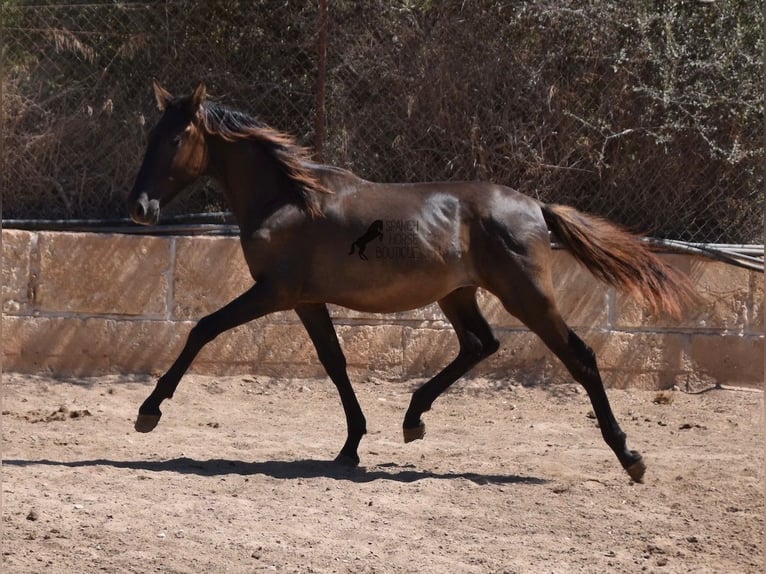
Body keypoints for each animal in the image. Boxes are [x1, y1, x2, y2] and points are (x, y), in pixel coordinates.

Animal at [124, 82, 696, 486]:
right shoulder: (307, 300)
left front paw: (149, 411)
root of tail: (535, 206)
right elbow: (334, 363)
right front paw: (351, 446)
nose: (140, 208)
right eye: (148, 136)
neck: (287, 199)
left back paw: (630, 456)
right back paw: (413, 418)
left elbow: (202, 329)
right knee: (480, 344)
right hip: (457, 294)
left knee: (579, 356)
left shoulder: (273, 292)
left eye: (176, 138)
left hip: (527, 296)